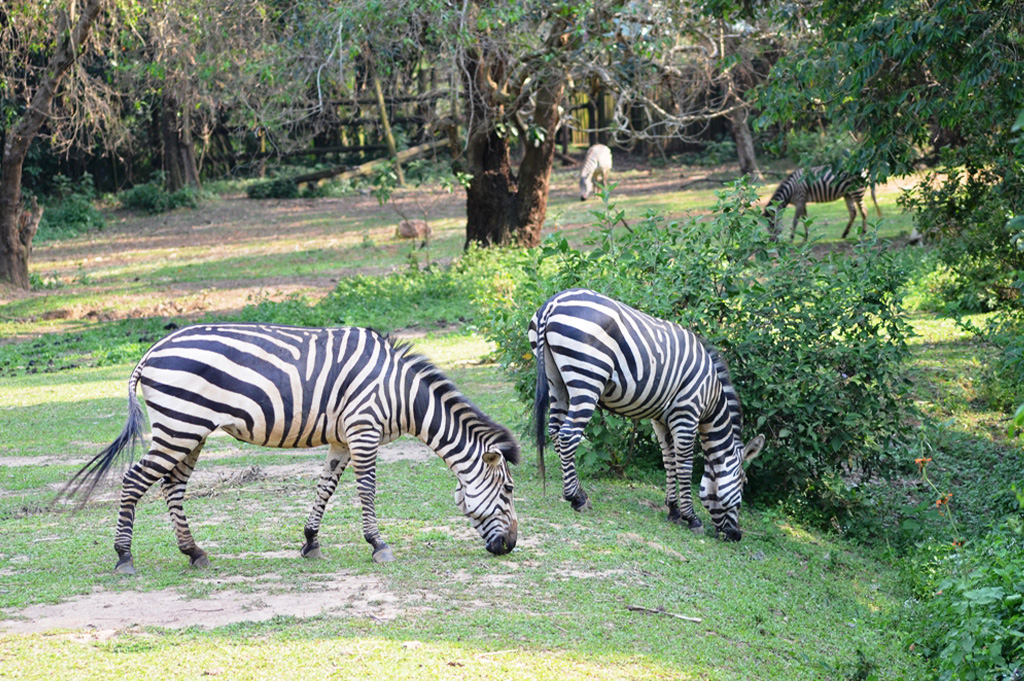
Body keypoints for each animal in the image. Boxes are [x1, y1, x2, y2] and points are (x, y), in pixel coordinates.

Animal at [58, 323, 520, 573]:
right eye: (510, 491)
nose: (510, 546)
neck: (401, 395)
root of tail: (150, 352)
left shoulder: (342, 438)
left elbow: (326, 488)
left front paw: (311, 541)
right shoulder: (364, 429)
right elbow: (367, 490)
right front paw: (378, 544)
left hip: (190, 430)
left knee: (171, 486)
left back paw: (194, 552)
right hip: (179, 425)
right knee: (136, 479)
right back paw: (124, 556)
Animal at [532, 288, 765, 540]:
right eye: (743, 483)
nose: (736, 535)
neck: (711, 397)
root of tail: (553, 303)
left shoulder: (661, 420)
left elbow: (669, 460)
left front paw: (673, 510)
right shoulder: (687, 414)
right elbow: (684, 466)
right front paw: (691, 518)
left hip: (556, 380)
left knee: (555, 432)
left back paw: (579, 491)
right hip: (586, 379)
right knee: (569, 435)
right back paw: (576, 498)